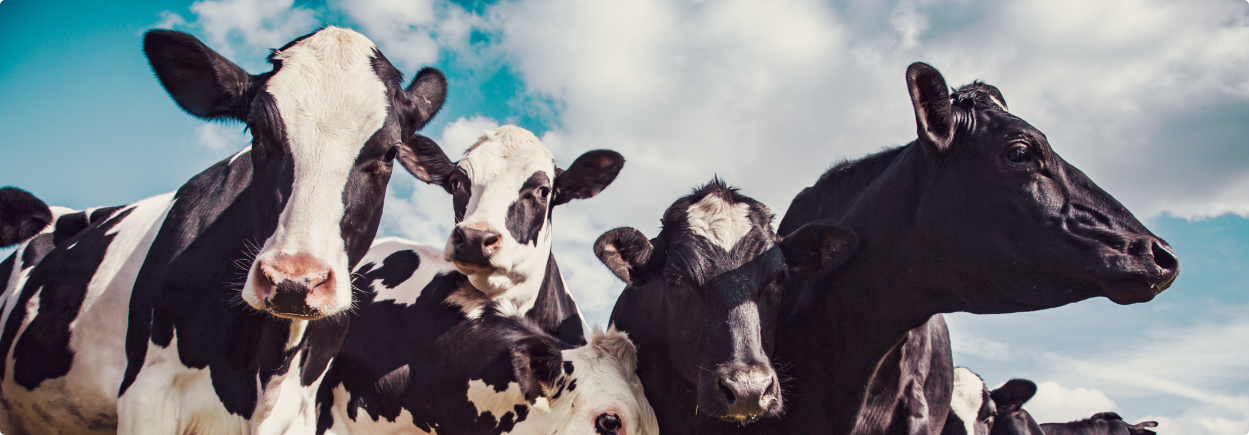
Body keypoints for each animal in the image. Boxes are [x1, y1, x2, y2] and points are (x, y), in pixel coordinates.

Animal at [0, 27, 449, 434]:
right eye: (257, 133)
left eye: (390, 153)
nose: (293, 281)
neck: (266, 363)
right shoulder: (147, 397)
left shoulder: (300, 411)